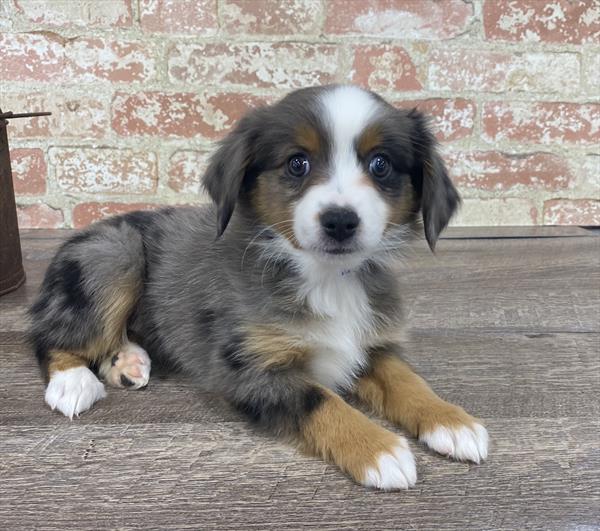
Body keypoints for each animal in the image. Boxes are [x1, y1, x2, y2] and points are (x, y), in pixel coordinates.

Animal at [29, 84, 488, 490]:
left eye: (381, 165)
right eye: (297, 163)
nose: (340, 221)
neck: (326, 277)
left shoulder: (371, 342)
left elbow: (407, 380)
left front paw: (451, 420)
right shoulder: (249, 367)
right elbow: (322, 401)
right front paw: (378, 449)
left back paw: (126, 362)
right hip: (113, 256)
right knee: (51, 335)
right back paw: (72, 381)